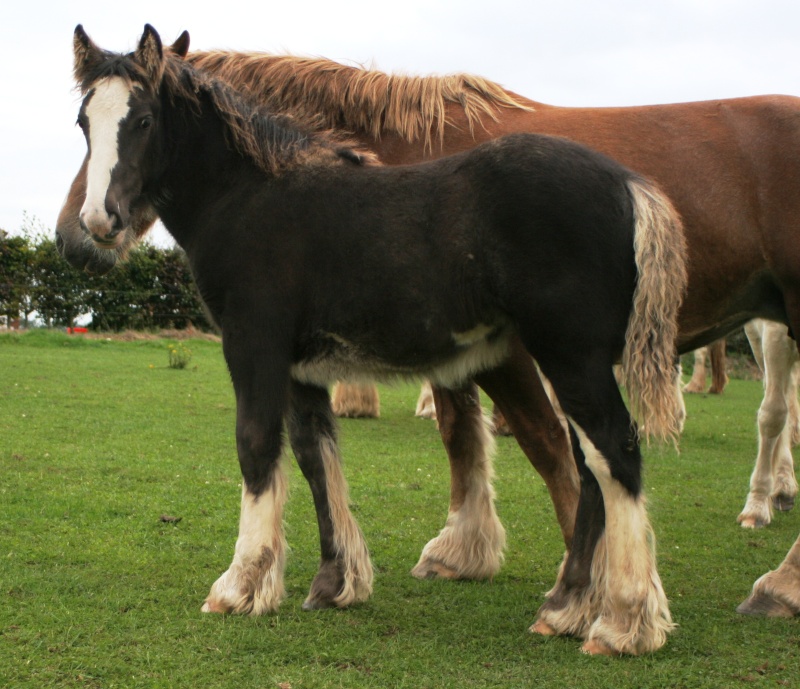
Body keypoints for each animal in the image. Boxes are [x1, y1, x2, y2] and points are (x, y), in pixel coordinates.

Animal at [57, 39, 800, 656]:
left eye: (142, 121)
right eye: (83, 122)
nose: (93, 226)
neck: (257, 195)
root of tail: (630, 184)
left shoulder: (254, 348)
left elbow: (257, 450)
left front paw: (240, 586)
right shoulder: (303, 368)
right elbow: (316, 455)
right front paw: (336, 582)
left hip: (572, 356)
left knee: (613, 455)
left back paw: (624, 623)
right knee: (589, 467)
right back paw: (566, 610)